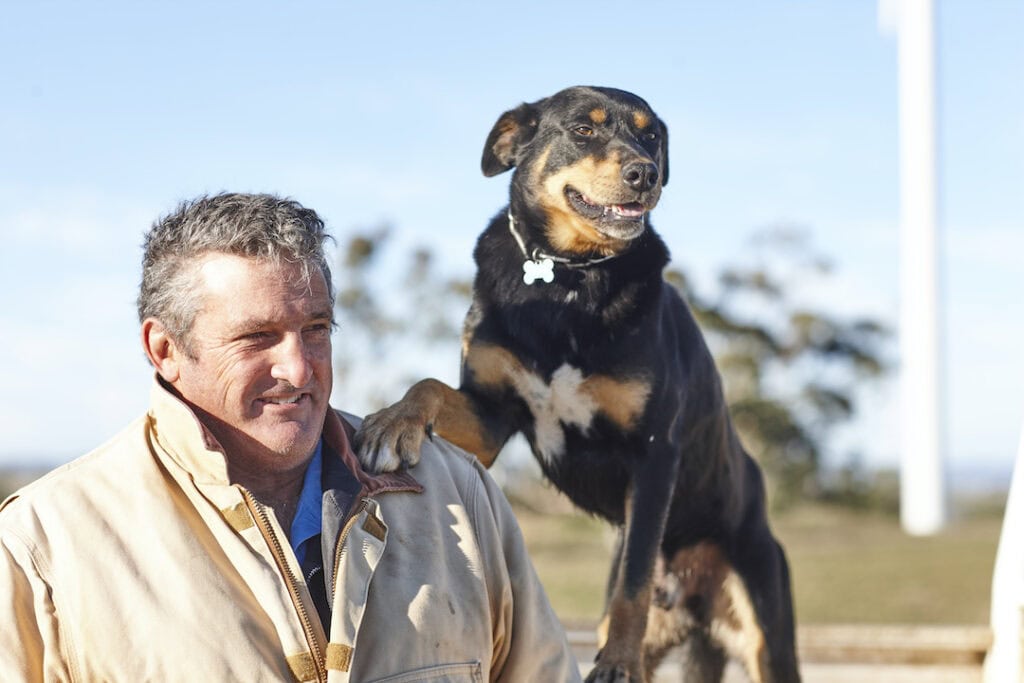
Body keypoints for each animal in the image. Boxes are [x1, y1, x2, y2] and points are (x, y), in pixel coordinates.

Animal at [358, 87, 798, 683]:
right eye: (584, 130)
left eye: (650, 135)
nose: (645, 173)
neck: (568, 276)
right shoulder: (492, 417)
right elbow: (427, 385)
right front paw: (391, 423)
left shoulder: (654, 454)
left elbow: (634, 582)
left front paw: (615, 664)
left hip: (764, 629)